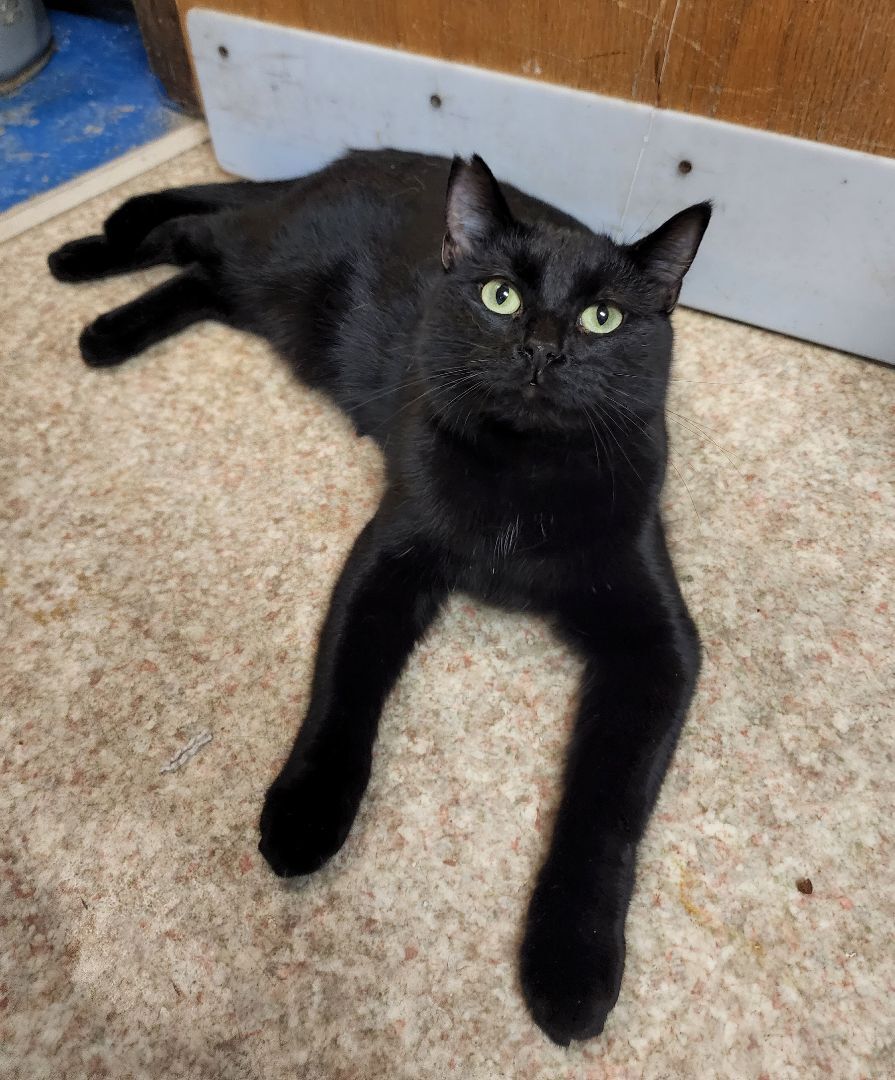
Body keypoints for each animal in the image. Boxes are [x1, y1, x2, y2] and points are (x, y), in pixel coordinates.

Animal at [48, 150, 710, 1045]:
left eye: (603, 318)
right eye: (500, 296)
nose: (542, 349)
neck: (526, 469)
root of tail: (356, 157)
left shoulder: (657, 640)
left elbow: (606, 804)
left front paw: (571, 962)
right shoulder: (387, 557)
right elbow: (344, 691)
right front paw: (304, 814)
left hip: (280, 305)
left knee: (204, 273)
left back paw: (105, 312)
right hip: (280, 262)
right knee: (196, 234)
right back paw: (85, 274)